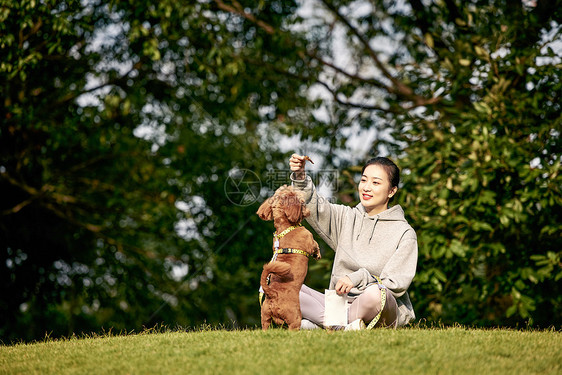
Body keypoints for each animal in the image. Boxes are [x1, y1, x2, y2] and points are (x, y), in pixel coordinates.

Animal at [255, 186, 318, 332]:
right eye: (302, 202)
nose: (308, 211)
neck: (285, 227)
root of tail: (272, 294)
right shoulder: (309, 239)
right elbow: (315, 245)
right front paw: (317, 254)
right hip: (295, 318)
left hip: (265, 317)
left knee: (265, 327)